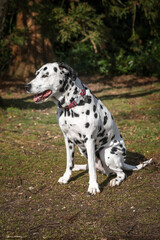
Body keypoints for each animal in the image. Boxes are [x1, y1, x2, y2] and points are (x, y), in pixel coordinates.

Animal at [26, 62, 152, 195]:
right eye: (36, 74)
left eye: (45, 75)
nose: (26, 86)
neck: (71, 106)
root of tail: (123, 162)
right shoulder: (68, 140)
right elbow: (69, 162)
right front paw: (66, 177)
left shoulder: (89, 140)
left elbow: (91, 168)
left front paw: (93, 186)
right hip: (83, 150)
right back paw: (78, 167)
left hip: (106, 152)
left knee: (121, 173)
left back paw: (116, 180)